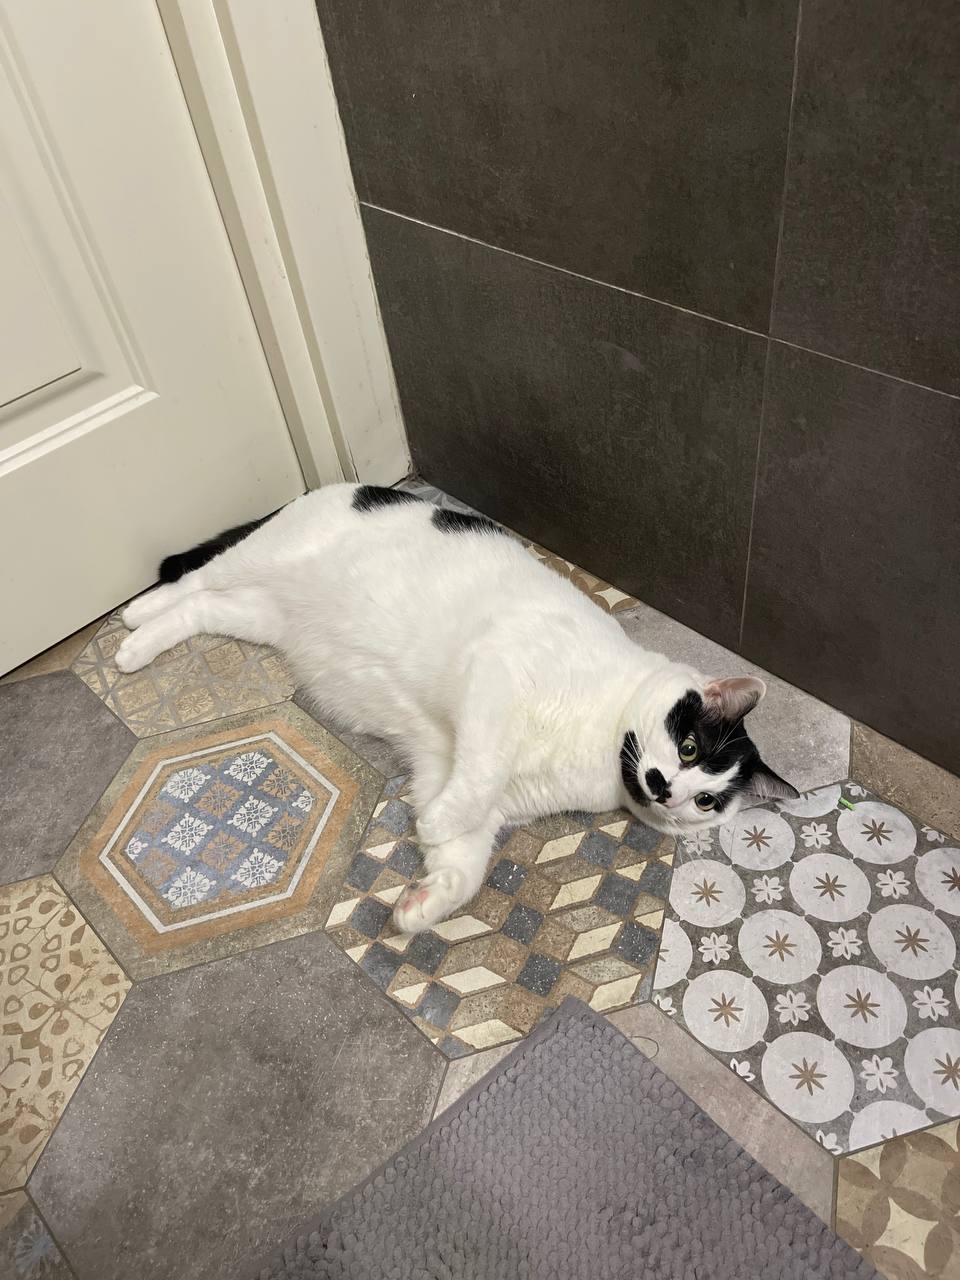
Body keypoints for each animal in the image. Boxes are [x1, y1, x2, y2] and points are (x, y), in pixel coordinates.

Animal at [116, 483, 798, 933]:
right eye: (688, 746)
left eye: (706, 801)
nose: (667, 790)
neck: (599, 753)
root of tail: (348, 485)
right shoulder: (496, 677)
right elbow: (481, 776)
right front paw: (438, 823)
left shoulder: (448, 767)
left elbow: (465, 861)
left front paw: (425, 901)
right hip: (263, 559)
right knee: (194, 578)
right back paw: (133, 621)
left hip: (261, 615)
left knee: (201, 607)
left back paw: (142, 639)